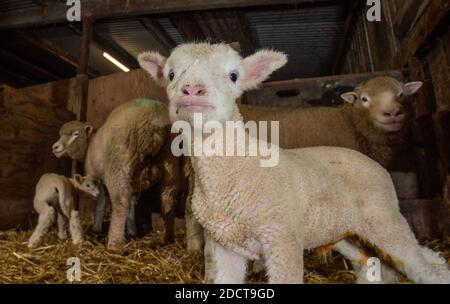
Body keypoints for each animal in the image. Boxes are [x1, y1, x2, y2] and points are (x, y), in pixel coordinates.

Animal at [51, 98, 180, 251]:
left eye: (76, 134)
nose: (55, 147)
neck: (89, 144)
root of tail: (156, 117)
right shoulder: (133, 180)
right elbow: (132, 203)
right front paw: (132, 231)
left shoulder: (95, 177)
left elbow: (100, 202)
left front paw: (97, 228)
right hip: (170, 161)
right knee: (169, 199)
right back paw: (168, 239)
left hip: (118, 163)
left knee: (121, 201)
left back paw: (114, 244)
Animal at [138, 41, 450, 284]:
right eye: (171, 74)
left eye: (234, 75)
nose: (192, 90)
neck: (237, 169)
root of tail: (373, 164)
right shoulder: (224, 248)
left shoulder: (282, 240)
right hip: (345, 231)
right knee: (371, 263)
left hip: (385, 220)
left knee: (425, 268)